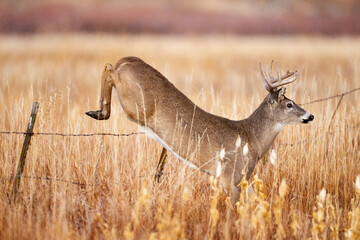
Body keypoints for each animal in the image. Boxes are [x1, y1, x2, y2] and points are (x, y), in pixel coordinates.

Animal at [86, 56, 314, 202]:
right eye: (289, 104)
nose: (309, 116)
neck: (252, 138)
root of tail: (130, 59)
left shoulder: (242, 179)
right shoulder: (231, 176)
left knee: (109, 67)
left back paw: (97, 111)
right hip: (134, 102)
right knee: (108, 68)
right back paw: (99, 111)